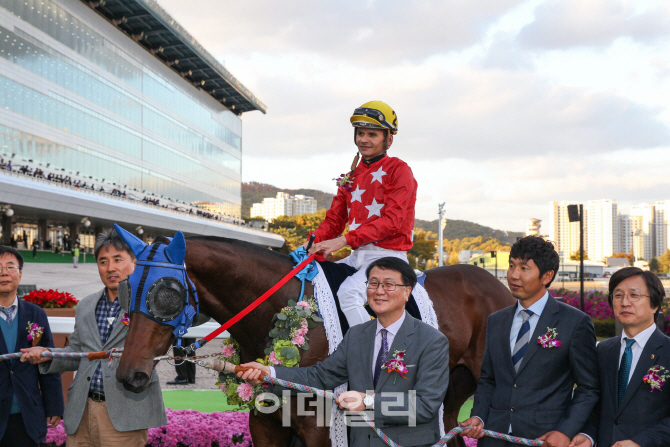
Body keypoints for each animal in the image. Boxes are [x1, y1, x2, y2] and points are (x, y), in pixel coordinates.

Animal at [117, 236, 516, 446]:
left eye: (165, 295)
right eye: (125, 289)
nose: (128, 375)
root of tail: (497, 283)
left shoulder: (320, 428)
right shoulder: (266, 425)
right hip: (452, 391)